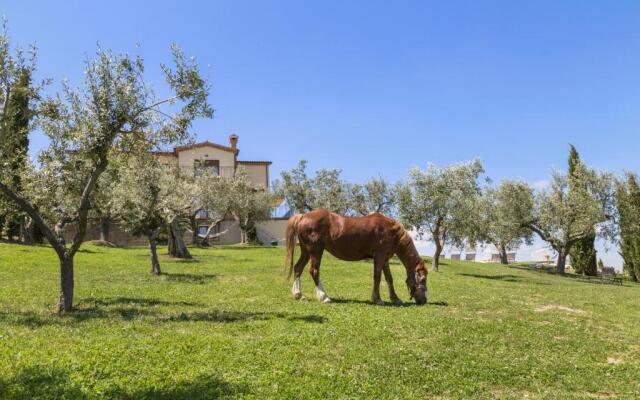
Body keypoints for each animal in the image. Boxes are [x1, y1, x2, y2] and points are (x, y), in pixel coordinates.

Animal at [286, 209, 428, 304]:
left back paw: (299, 294)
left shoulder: (385, 259)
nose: (424, 300)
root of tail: (303, 216)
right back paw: (324, 297)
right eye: (422, 279)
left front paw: (395, 298)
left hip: (306, 251)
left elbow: (389, 278)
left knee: (298, 268)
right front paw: (377, 299)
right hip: (316, 251)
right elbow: (377, 277)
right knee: (314, 271)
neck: (392, 232)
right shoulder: (379, 256)